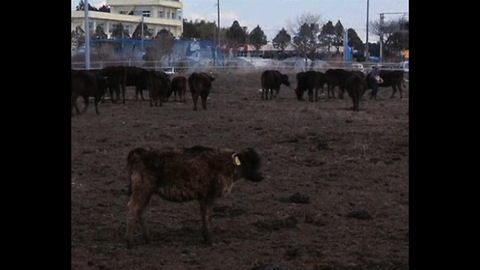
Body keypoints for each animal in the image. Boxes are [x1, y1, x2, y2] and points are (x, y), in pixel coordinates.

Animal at [124, 146, 264, 247]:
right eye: (249, 163)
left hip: (146, 192)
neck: (224, 164)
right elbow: (208, 216)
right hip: (142, 190)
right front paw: (211, 241)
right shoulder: (209, 195)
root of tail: (140, 153)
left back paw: (148, 239)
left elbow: (204, 215)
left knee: (140, 211)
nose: (261, 176)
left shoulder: (202, 197)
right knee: (133, 209)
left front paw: (205, 238)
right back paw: (130, 242)